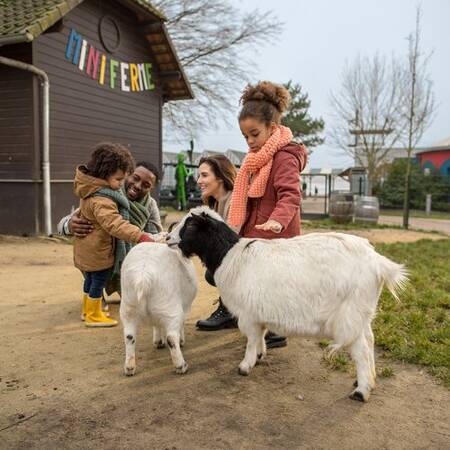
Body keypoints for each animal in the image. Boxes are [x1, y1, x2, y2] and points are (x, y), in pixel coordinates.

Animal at [119, 243, 197, 376]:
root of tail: (143, 275)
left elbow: (156, 324)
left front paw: (158, 341)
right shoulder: (184, 308)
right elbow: (181, 324)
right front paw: (181, 341)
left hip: (128, 308)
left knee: (129, 336)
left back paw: (129, 367)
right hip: (169, 307)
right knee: (171, 337)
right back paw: (181, 366)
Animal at [168, 207, 408, 400]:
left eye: (190, 225)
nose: (168, 238)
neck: (231, 256)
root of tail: (378, 263)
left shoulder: (248, 315)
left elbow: (250, 339)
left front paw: (245, 366)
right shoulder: (259, 312)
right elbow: (260, 336)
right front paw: (260, 355)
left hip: (349, 315)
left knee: (362, 349)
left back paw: (362, 391)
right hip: (363, 313)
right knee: (370, 341)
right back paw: (365, 380)